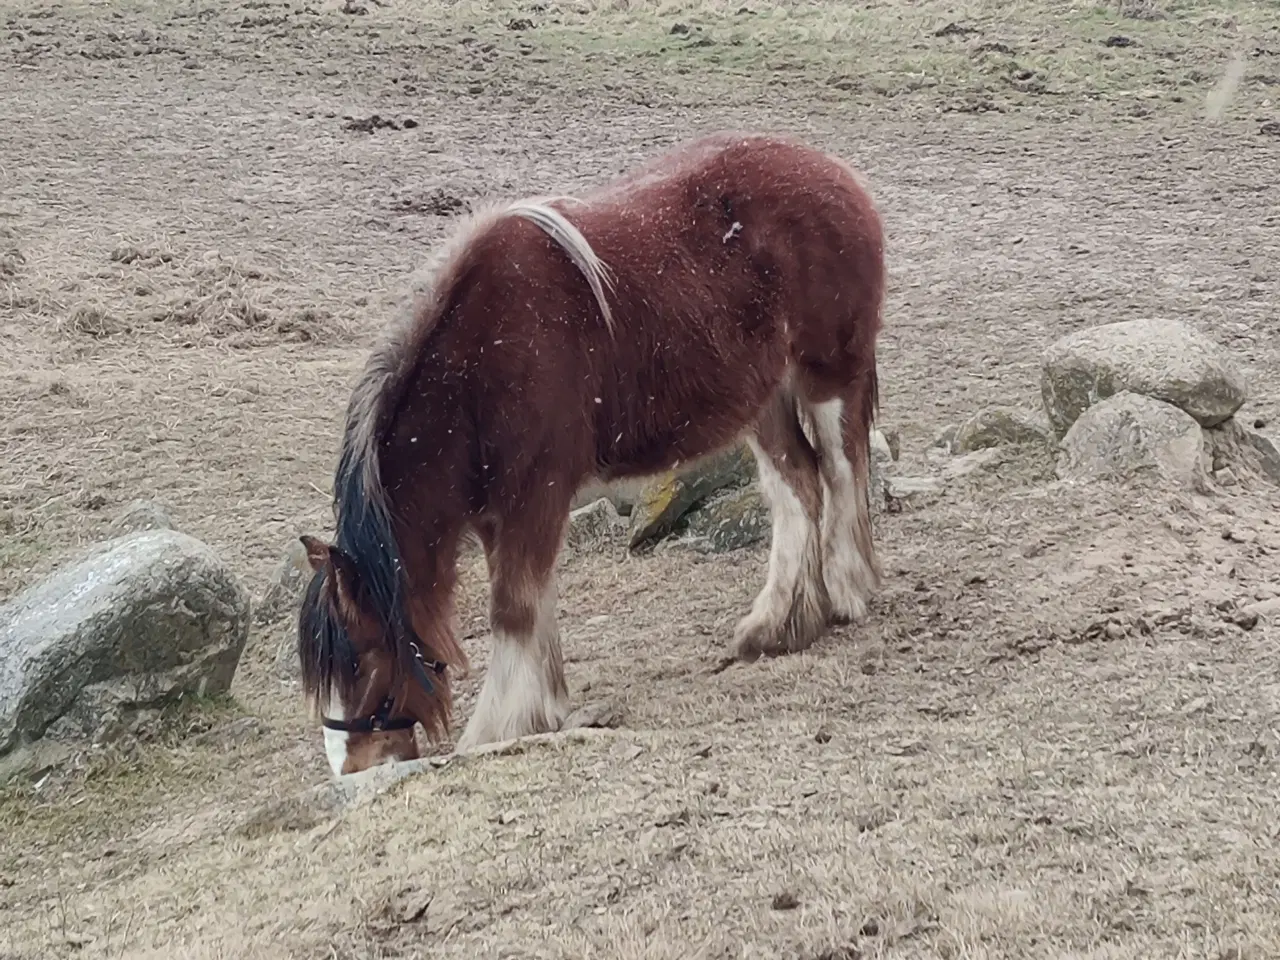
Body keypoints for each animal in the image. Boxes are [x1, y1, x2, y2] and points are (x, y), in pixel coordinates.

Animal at [295, 131, 885, 778]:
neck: (479, 363)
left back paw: (848, 592)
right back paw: (780, 625)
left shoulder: (536, 494)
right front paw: (545, 707)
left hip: (827, 376)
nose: (353, 768)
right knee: (796, 486)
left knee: (841, 469)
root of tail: (835, 173)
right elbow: (534, 600)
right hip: (763, 400)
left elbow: (514, 607)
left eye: (358, 659)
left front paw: (499, 727)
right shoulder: (502, 514)